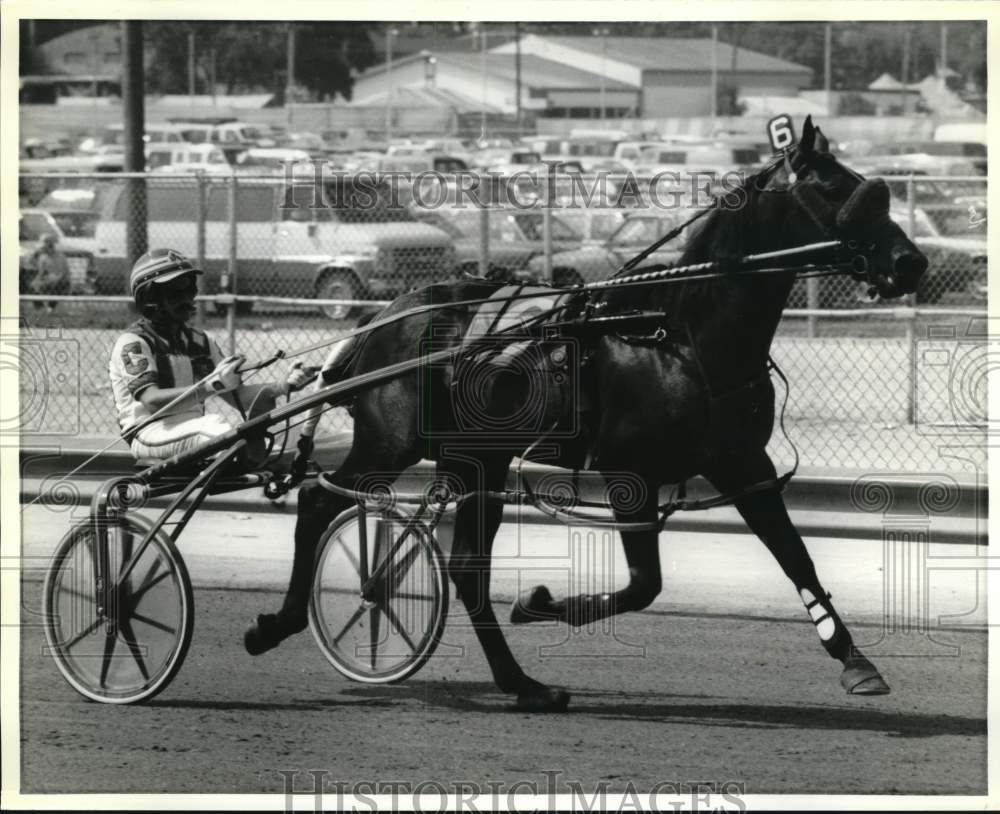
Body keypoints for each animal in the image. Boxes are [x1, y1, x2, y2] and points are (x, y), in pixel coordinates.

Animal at [244, 118, 928, 712]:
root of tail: (384, 316)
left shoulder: (741, 461)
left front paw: (856, 661)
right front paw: (541, 602)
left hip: (477, 457)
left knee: (464, 568)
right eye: (837, 189)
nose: (911, 263)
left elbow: (794, 556)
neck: (678, 336)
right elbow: (645, 585)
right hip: (393, 444)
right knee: (319, 500)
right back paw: (278, 624)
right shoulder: (631, 475)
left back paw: (524, 685)